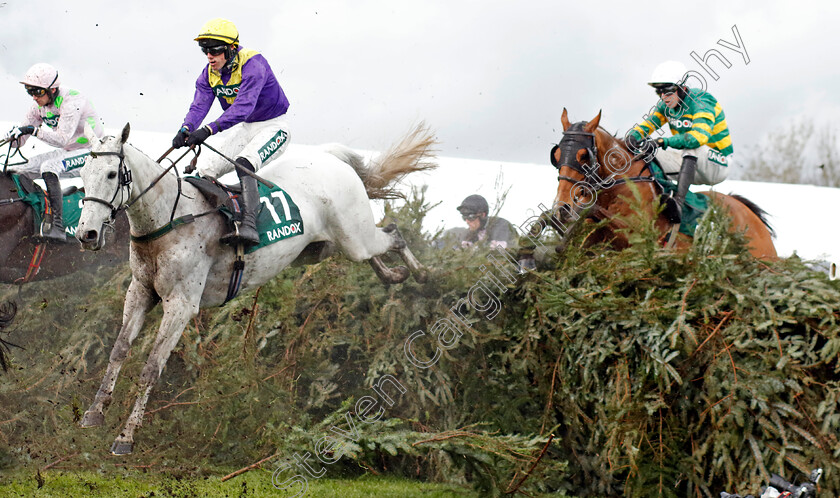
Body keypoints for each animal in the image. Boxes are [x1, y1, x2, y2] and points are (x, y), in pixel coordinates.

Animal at [75, 121, 436, 456]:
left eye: (111, 174)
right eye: (82, 174)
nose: (87, 235)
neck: (168, 218)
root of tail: (330, 158)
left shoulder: (180, 304)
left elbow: (151, 367)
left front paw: (125, 437)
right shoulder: (140, 292)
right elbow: (118, 350)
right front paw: (94, 413)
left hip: (353, 237)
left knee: (393, 233)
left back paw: (422, 274)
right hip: (323, 247)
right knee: (374, 247)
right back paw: (393, 275)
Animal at [528, 111, 776, 260]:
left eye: (583, 156)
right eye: (556, 155)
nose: (562, 207)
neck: (622, 185)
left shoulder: (638, 239)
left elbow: (596, 213)